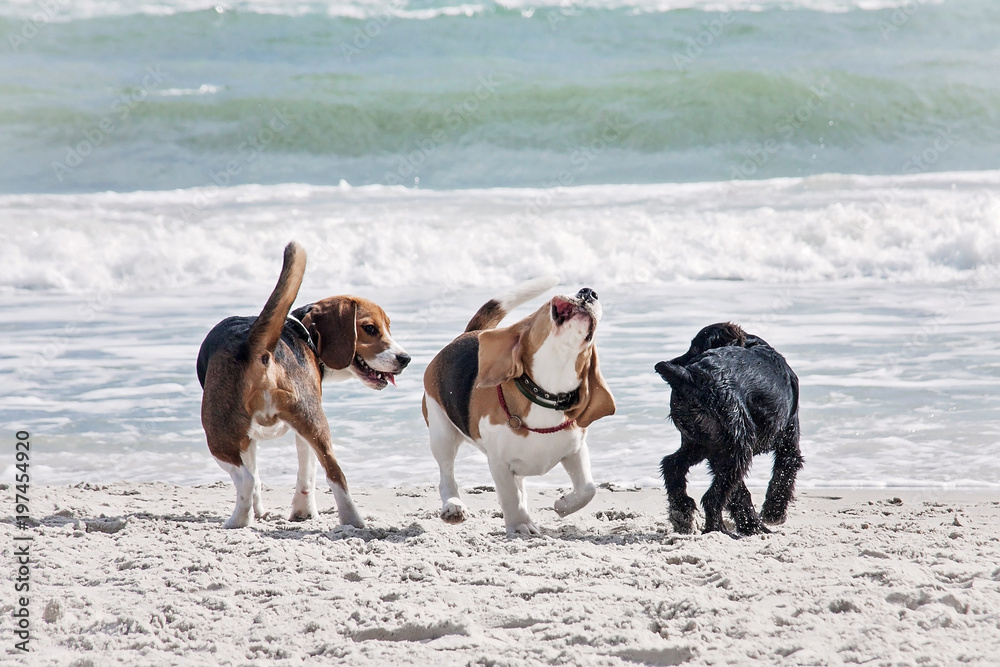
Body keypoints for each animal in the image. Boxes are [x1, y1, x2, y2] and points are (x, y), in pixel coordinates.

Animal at [197, 243, 408, 528]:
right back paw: (352, 520)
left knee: (247, 480)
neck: (302, 333)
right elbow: (307, 475)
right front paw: (304, 512)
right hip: (314, 421)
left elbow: (257, 476)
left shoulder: (248, 439)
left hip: (218, 435)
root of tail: (258, 346)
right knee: (335, 473)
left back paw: (238, 521)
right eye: (371, 328)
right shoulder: (296, 430)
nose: (405, 359)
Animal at [424, 276, 616, 536]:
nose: (588, 291)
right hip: (441, 434)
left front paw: (562, 505)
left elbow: (588, 488)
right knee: (446, 476)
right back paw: (453, 506)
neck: (548, 391)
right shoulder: (498, 462)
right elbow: (509, 496)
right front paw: (520, 525)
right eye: (546, 306)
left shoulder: (575, 450)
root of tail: (468, 334)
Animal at [656, 324, 804, 536]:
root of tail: (689, 376)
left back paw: (682, 512)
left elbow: (739, 494)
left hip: (700, 444)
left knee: (672, 465)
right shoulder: (788, 444)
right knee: (711, 498)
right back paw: (719, 530)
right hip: (737, 449)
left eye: (694, 348)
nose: (676, 361)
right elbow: (783, 475)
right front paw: (774, 513)